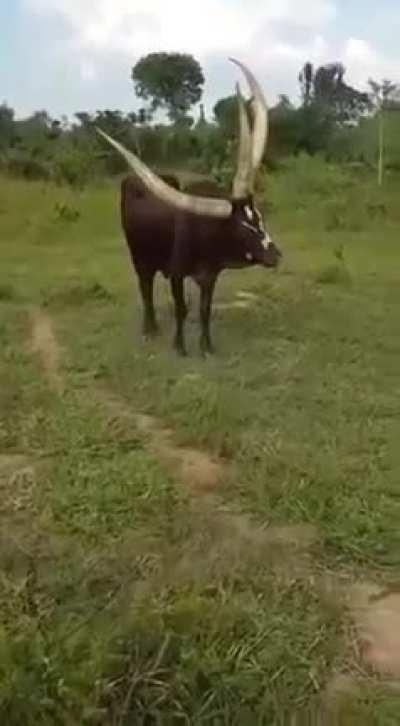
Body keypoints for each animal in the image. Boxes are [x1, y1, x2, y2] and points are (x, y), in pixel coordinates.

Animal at [97, 59, 282, 356]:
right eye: (242, 226)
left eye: (260, 218)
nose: (275, 255)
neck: (206, 234)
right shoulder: (176, 274)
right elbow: (182, 308)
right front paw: (179, 346)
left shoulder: (210, 276)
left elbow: (204, 309)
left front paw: (206, 346)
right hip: (139, 257)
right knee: (145, 288)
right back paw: (150, 328)